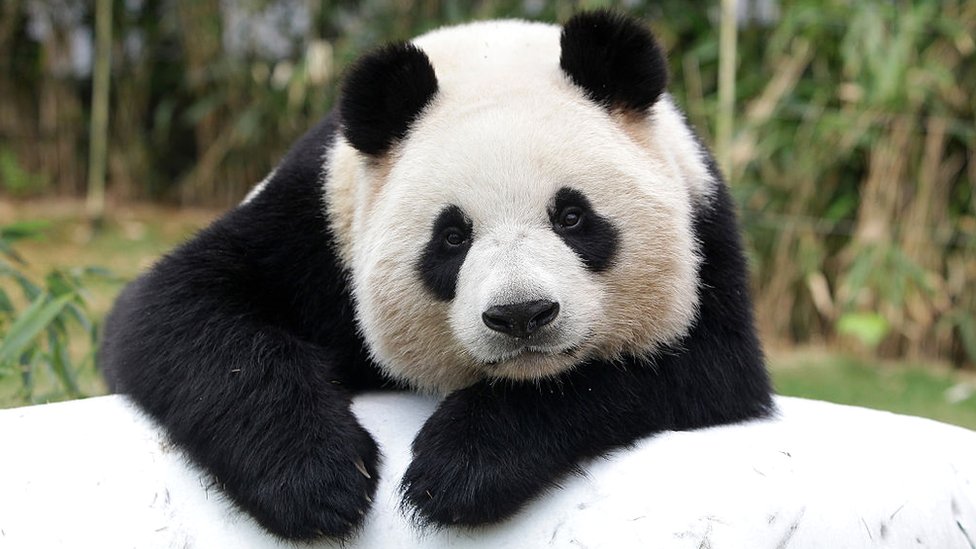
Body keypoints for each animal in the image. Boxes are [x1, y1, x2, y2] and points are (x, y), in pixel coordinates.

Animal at [97, 10, 772, 540]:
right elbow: (175, 311)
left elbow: (692, 368)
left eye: (572, 216)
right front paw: (319, 480)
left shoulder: (704, 229)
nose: (521, 316)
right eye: (452, 237)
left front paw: (460, 469)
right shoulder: (315, 223)